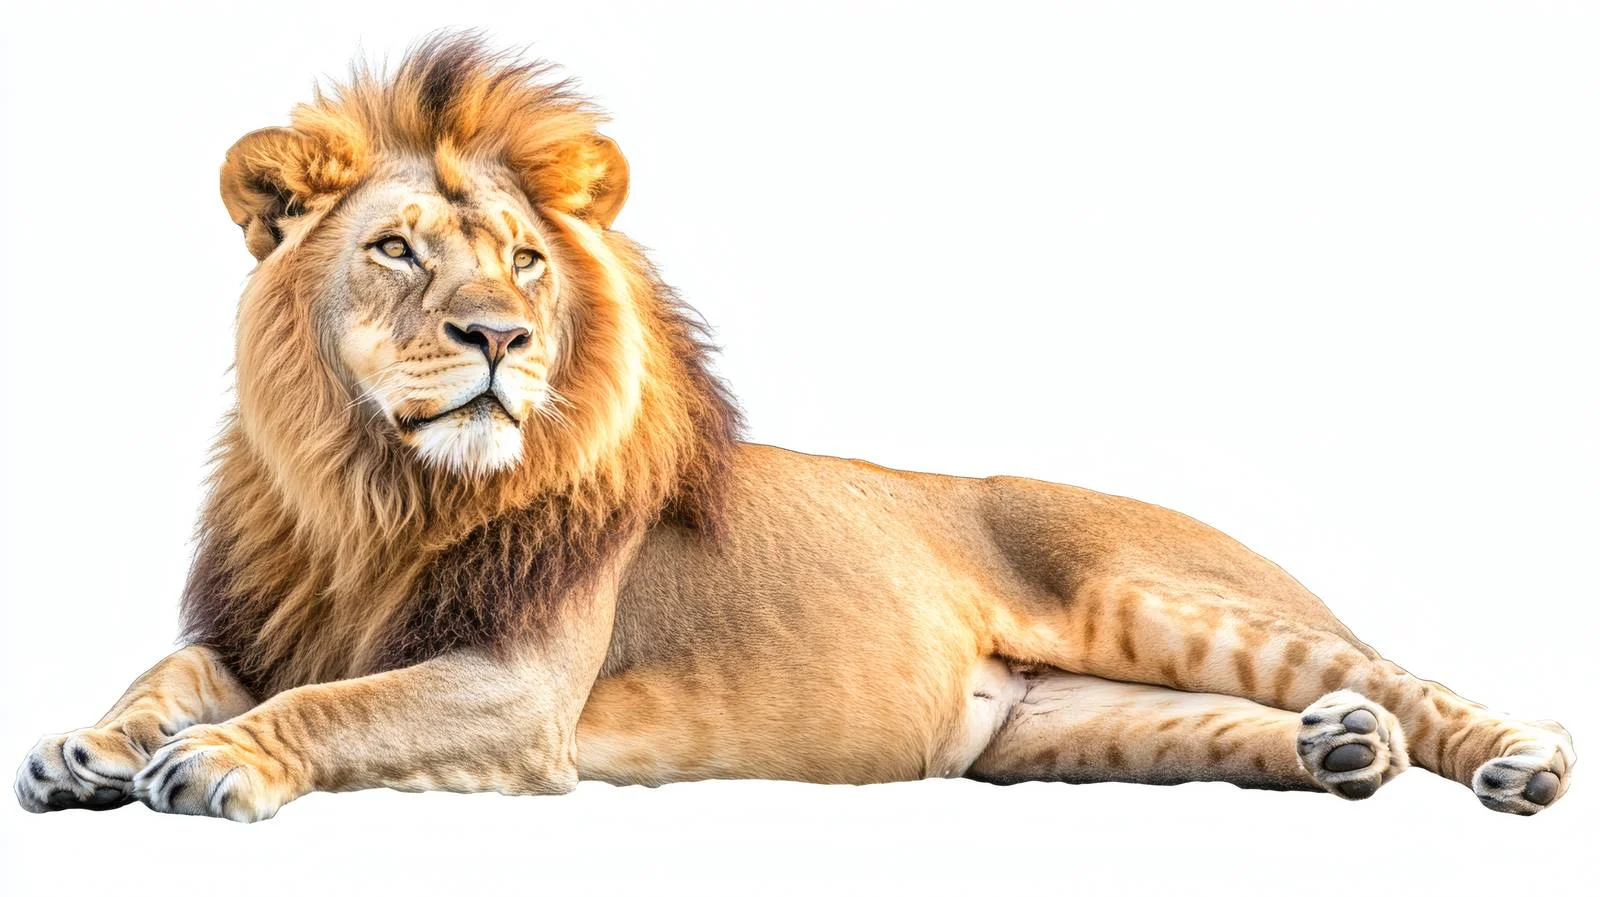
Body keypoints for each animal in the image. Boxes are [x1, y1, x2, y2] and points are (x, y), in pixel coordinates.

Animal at [14, 36, 1573, 822]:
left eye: (523, 262)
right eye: (397, 250)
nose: (499, 339)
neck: (372, 497)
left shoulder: (516, 687)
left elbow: (334, 706)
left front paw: (219, 762)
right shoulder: (258, 626)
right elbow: (169, 672)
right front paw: (83, 749)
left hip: (1164, 596)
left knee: (1406, 677)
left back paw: (1518, 759)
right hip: (1058, 734)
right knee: (1277, 722)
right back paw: (1340, 752)